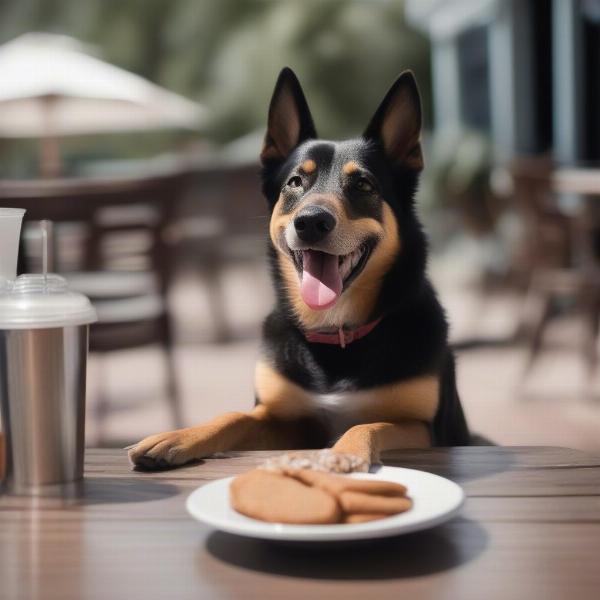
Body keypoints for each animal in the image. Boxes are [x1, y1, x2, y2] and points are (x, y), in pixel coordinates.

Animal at [129, 65, 472, 468]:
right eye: (295, 182)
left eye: (363, 185)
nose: (311, 222)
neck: (336, 332)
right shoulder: (284, 419)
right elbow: (233, 416)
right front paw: (181, 435)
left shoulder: (427, 429)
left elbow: (369, 424)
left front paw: (341, 453)